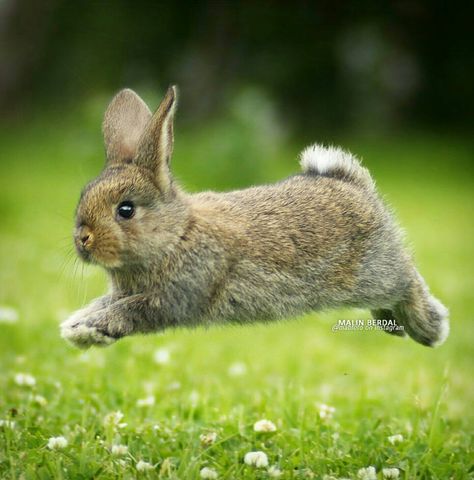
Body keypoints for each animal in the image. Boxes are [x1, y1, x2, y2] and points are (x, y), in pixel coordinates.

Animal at [61, 85, 450, 348]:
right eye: (83, 196)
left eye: (125, 210)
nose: (83, 239)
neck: (176, 235)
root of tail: (355, 186)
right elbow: (105, 303)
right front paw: (76, 326)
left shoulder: (176, 295)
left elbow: (132, 311)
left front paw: (89, 330)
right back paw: (392, 325)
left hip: (376, 272)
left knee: (408, 281)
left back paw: (429, 327)